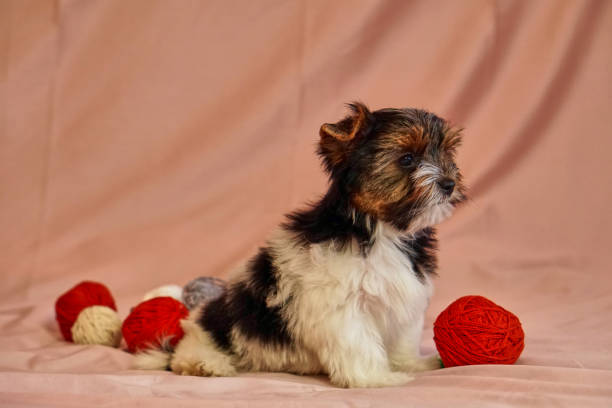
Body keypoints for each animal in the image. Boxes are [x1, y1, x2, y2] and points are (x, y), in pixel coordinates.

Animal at [137, 103, 464, 388]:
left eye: (446, 153)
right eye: (407, 159)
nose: (449, 183)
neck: (381, 231)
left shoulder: (404, 294)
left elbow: (403, 334)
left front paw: (410, 364)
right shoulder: (340, 305)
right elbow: (357, 341)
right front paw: (375, 378)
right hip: (215, 325)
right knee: (197, 347)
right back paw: (205, 364)